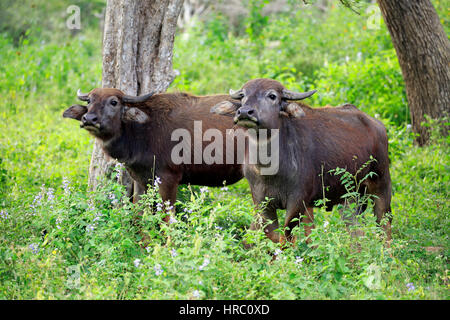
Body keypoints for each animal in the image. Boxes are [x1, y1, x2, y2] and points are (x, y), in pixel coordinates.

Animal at [62, 89, 243, 216]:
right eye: (90, 100)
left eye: (113, 102)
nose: (89, 119)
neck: (142, 131)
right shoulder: (141, 180)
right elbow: (139, 213)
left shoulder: (169, 179)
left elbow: (167, 218)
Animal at [211, 79, 390, 246]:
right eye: (243, 96)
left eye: (272, 96)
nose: (244, 112)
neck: (270, 169)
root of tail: (377, 125)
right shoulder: (262, 202)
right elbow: (273, 236)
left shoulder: (297, 202)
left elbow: (286, 237)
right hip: (350, 198)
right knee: (356, 232)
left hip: (381, 185)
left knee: (384, 225)